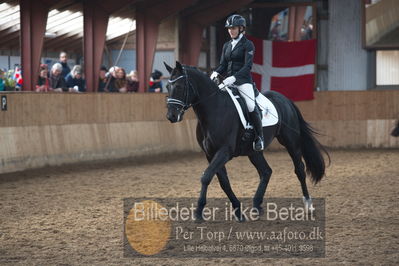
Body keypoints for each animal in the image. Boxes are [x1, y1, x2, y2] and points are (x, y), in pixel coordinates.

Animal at [164, 61, 330, 220]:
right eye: (167, 86)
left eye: (179, 86)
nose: (171, 116)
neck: (214, 110)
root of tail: (285, 100)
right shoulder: (210, 154)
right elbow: (224, 182)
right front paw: (238, 212)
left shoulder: (224, 151)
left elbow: (206, 177)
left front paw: (198, 212)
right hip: (253, 151)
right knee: (266, 171)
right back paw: (256, 206)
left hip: (291, 142)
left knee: (299, 169)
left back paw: (308, 205)